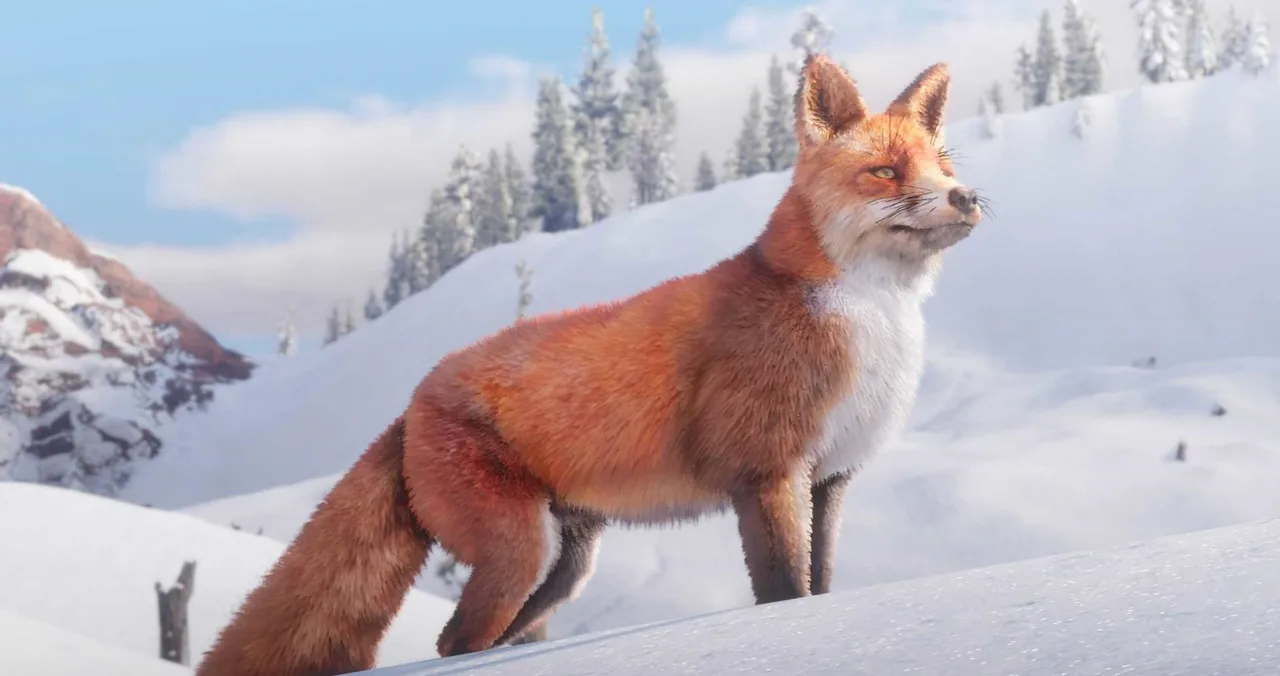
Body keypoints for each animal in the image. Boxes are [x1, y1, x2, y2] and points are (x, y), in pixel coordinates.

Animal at [194, 54, 983, 676]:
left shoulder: (831, 478)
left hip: (561, 568)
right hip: (520, 552)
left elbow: (820, 584)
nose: (967, 196)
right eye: (885, 172)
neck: (866, 324)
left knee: (471, 642)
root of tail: (411, 402)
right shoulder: (767, 472)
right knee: (455, 643)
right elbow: (784, 590)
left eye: (943, 167)